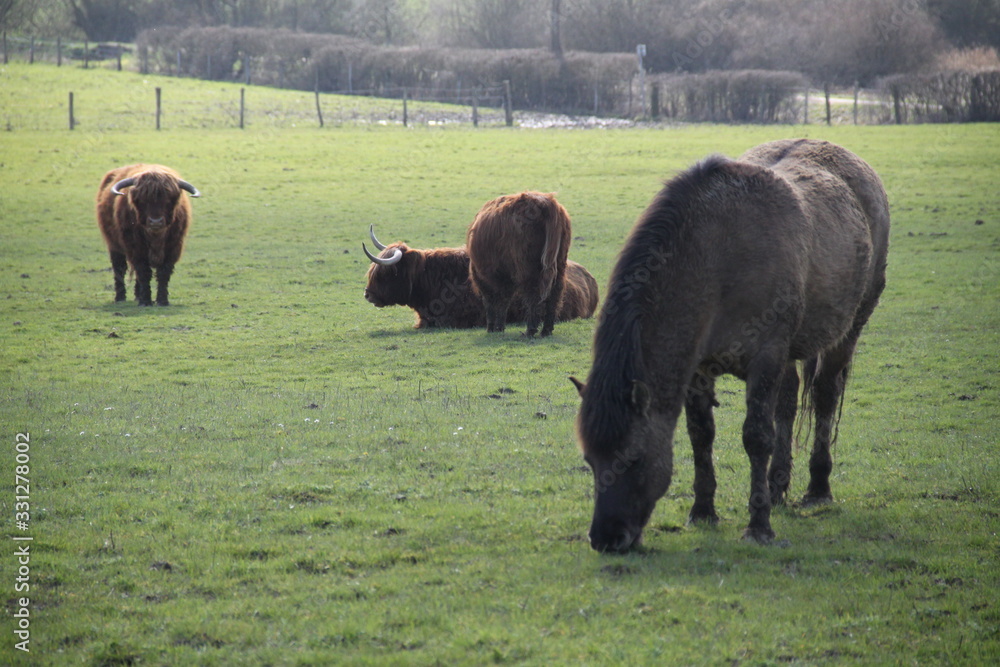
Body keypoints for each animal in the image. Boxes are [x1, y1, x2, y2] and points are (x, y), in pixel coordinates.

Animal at [96, 164, 200, 306]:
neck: (156, 237)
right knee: (119, 269)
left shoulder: (173, 249)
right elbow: (144, 272)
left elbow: (163, 273)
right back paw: (120, 298)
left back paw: (137, 296)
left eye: (168, 200)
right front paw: (145, 301)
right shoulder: (136, 249)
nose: (155, 221)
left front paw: (162, 301)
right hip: (114, 245)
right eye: (143, 201)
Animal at [466, 191, 572, 337]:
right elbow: (503, 301)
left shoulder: (486, 278)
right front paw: (498, 327)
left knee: (533, 293)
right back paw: (546, 330)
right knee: (555, 293)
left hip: (527, 266)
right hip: (560, 263)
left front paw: (494, 327)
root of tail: (545, 201)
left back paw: (530, 331)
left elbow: (493, 302)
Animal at [571, 139, 890, 552]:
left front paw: (758, 525)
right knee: (788, 403)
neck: (720, 256)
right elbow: (700, 435)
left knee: (823, 397)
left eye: (634, 460)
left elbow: (756, 437)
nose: (605, 539)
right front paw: (703, 510)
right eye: (590, 460)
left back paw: (817, 488)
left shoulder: (765, 357)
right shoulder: (699, 368)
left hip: (849, 328)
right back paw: (778, 485)